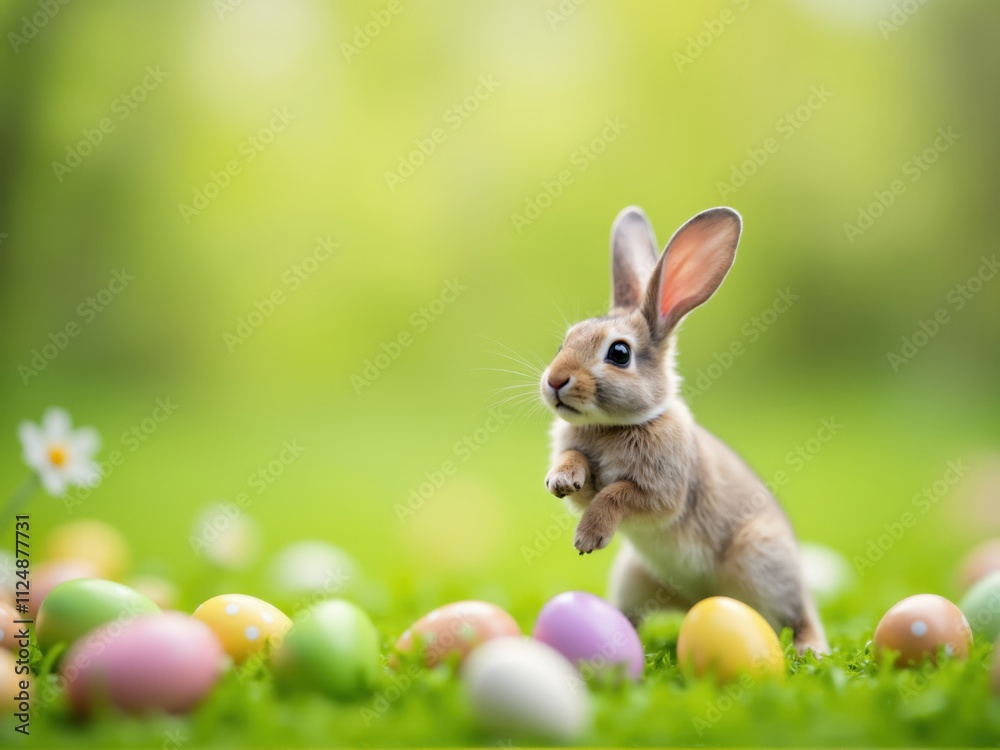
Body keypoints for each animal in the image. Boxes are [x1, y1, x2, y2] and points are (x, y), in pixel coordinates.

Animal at [539, 206, 828, 655]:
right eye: (563, 343)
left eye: (619, 353)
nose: (554, 381)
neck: (616, 425)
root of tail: (699, 601)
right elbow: (581, 472)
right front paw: (561, 479)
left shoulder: (663, 490)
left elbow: (618, 494)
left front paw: (588, 538)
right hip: (634, 578)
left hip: (762, 562)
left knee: (797, 617)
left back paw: (808, 648)